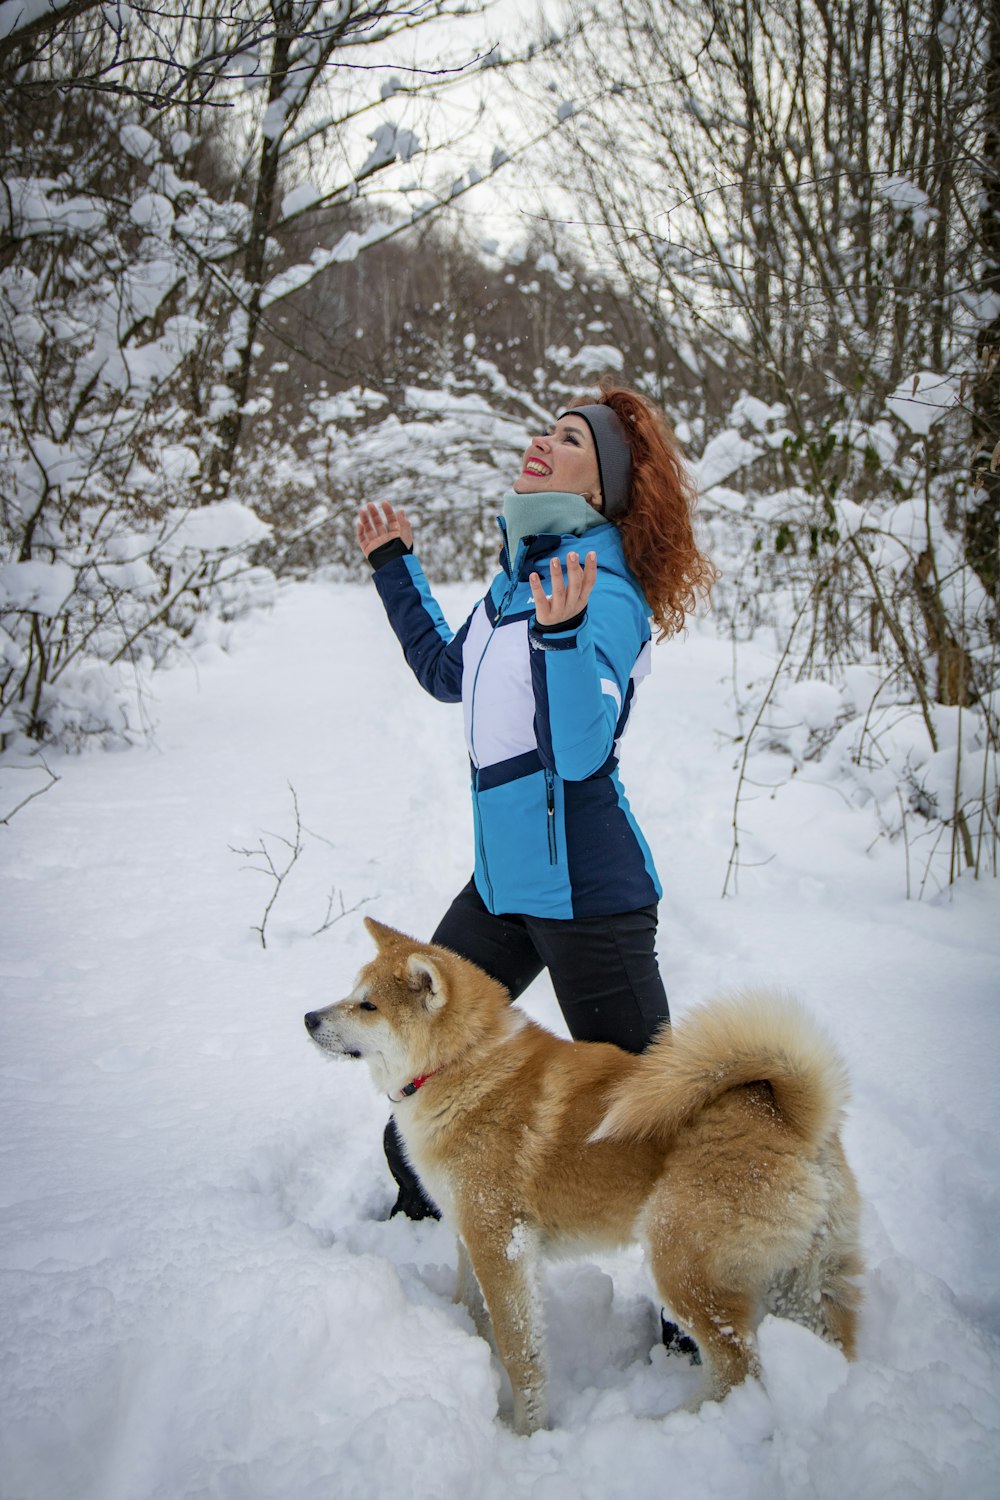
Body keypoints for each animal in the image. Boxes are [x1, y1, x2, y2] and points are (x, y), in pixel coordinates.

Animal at [305, 918, 863, 1434]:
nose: (308, 1018)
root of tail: (790, 1119)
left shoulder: (501, 1242)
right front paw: (464, 1340)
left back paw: (670, 1424)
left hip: (682, 1265)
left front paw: (526, 1430)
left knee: (737, 1369)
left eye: (368, 1006)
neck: (462, 1066)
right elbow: (473, 1306)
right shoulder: (472, 1234)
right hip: (804, 1286)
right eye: (353, 994)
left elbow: (520, 1351)